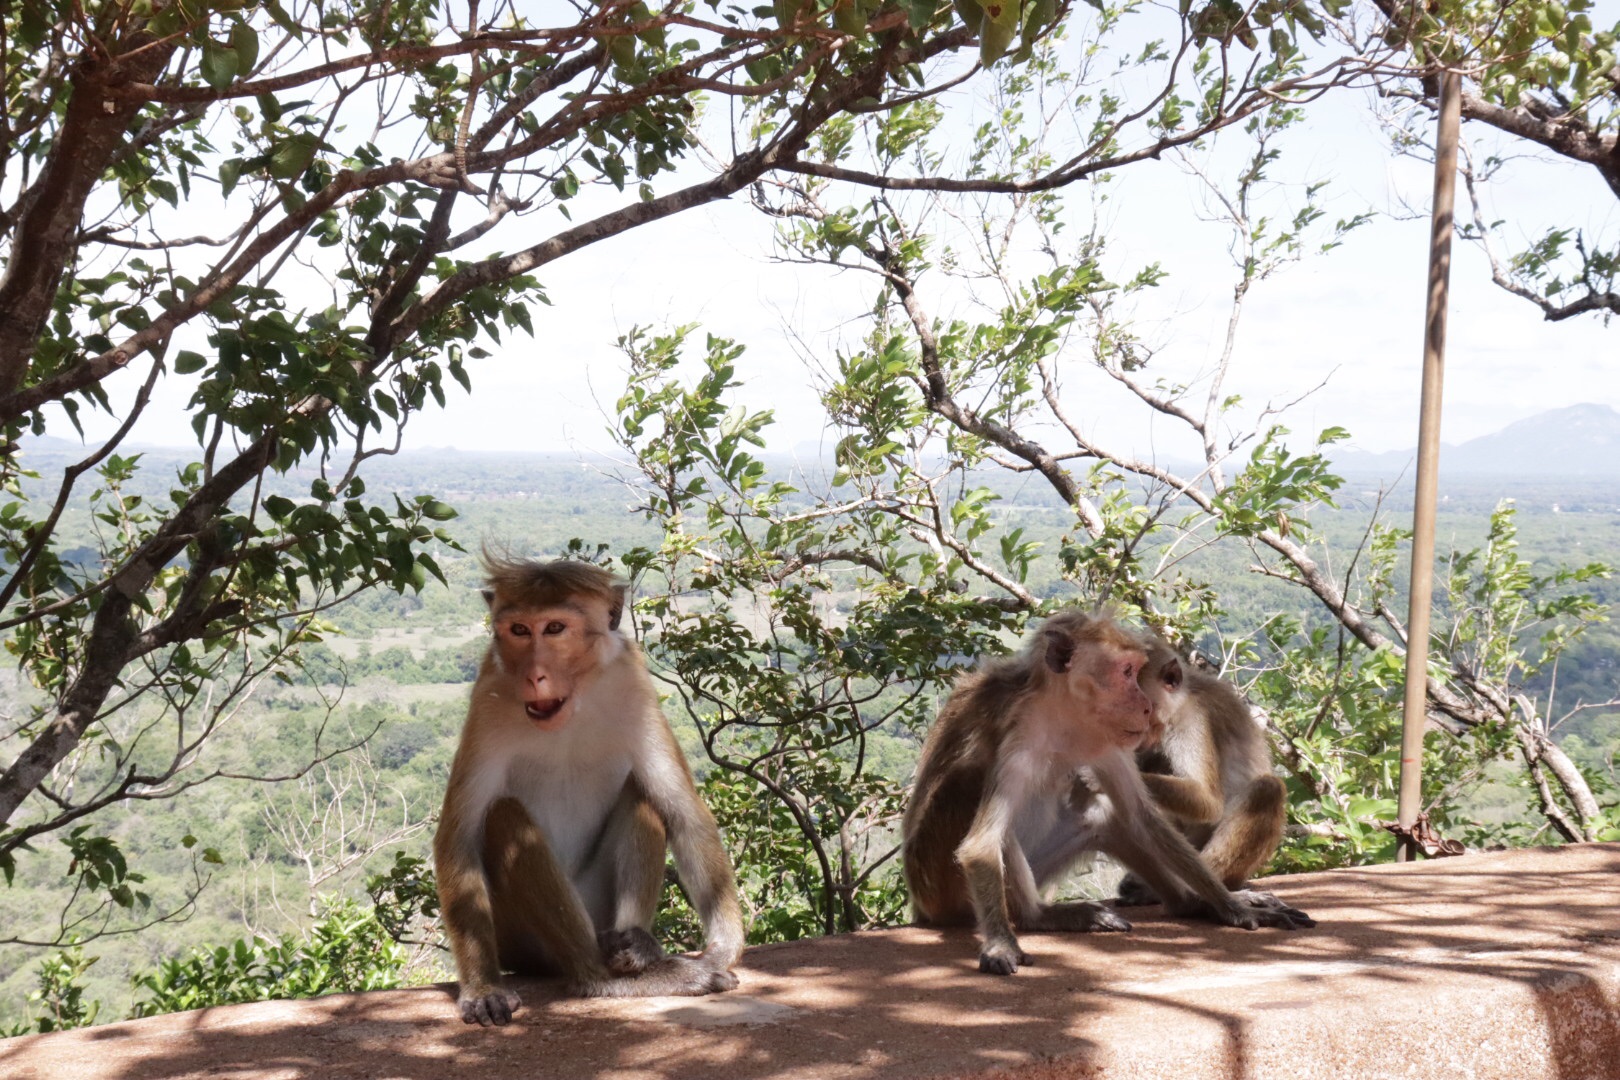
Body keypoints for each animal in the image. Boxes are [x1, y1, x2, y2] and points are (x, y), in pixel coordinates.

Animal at [430, 563, 745, 1029]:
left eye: (555, 628)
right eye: (519, 630)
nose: (534, 674)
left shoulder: (632, 681)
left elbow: (684, 813)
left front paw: (722, 949)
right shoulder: (489, 698)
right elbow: (459, 837)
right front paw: (483, 989)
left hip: (599, 908)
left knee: (643, 795)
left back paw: (636, 951)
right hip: (520, 940)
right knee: (504, 818)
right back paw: (602, 978)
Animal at [1114, 637, 1289, 906]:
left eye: (1142, 708)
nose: (1134, 732)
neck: (1183, 697)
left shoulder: (1194, 718)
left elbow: (1207, 799)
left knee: (1267, 789)